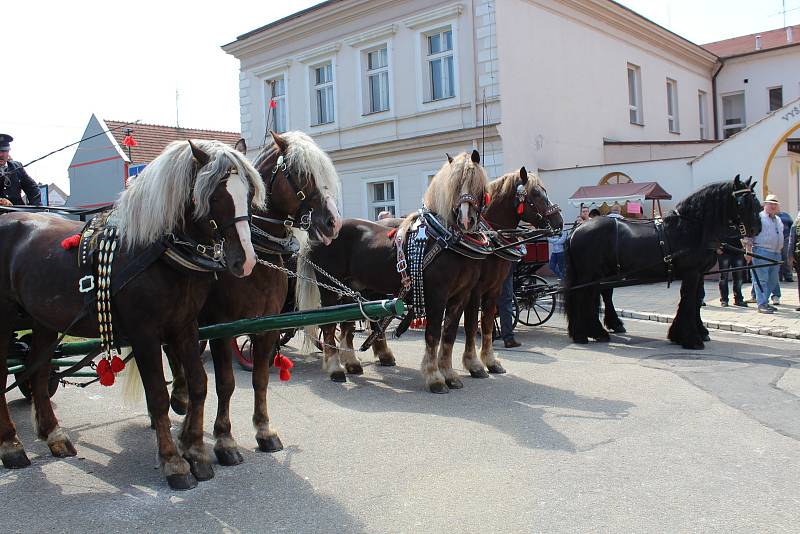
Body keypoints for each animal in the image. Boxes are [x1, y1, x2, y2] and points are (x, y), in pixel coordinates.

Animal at [0, 140, 268, 492]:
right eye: (213, 196)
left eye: (248, 194)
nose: (246, 261)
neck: (158, 252)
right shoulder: (145, 335)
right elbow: (157, 396)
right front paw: (173, 462)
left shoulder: (185, 327)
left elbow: (199, 384)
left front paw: (197, 452)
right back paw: (11, 446)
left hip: (44, 321)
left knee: (38, 373)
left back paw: (53, 436)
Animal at [164, 132, 342, 466]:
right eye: (300, 173)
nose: (333, 223)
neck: (258, 257)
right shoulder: (223, 328)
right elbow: (226, 383)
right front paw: (224, 440)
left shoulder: (266, 326)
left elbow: (260, 378)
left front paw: (264, 431)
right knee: (173, 356)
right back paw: (180, 401)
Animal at [296, 151, 488, 394]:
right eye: (453, 185)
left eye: (477, 184)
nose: (465, 219)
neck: (445, 240)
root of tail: (320, 232)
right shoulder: (437, 295)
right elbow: (434, 334)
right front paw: (434, 377)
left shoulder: (461, 296)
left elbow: (449, 336)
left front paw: (450, 375)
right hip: (330, 289)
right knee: (329, 325)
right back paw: (335, 369)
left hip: (350, 289)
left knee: (347, 325)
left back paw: (351, 363)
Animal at [460, 168, 564, 376]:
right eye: (535, 194)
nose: (559, 221)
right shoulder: (476, 289)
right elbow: (476, 320)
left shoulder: (499, 284)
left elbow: (496, 312)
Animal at [564, 177, 760, 352]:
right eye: (742, 202)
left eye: (755, 201)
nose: (756, 229)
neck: (691, 228)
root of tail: (577, 229)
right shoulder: (691, 273)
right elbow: (689, 300)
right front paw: (692, 339)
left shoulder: (699, 274)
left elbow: (696, 300)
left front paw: (692, 333)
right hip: (588, 274)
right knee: (582, 297)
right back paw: (581, 335)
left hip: (598, 274)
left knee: (593, 296)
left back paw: (597, 332)